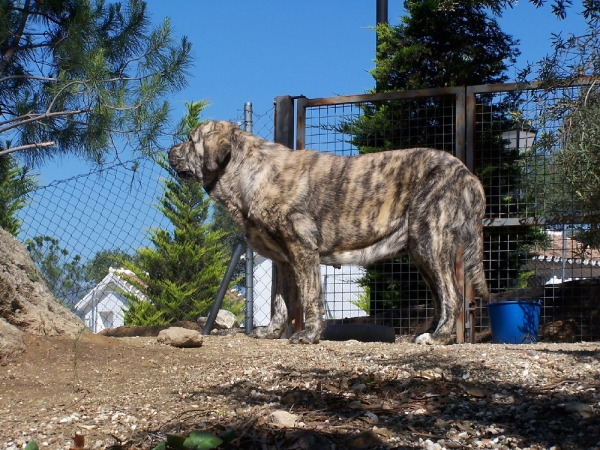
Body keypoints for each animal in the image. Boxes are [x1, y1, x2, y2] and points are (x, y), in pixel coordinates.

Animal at [168, 119, 488, 344]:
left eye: (190, 140)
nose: (169, 151)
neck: (250, 174)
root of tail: (468, 175)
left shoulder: (303, 250)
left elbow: (310, 299)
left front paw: (308, 335)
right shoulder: (283, 261)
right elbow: (279, 303)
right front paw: (271, 332)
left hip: (429, 242)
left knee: (453, 295)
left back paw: (437, 337)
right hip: (423, 253)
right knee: (440, 297)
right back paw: (432, 333)